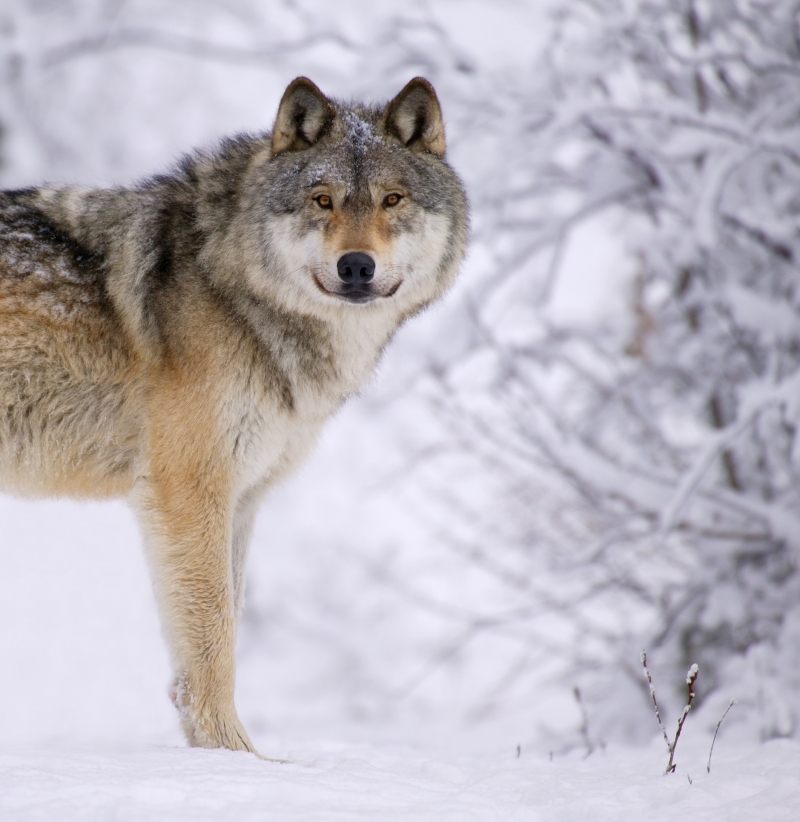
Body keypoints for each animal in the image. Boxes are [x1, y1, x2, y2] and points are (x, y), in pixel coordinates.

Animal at [0, 79, 468, 760]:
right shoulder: (189, 490)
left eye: (392, 200)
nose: (357, 266)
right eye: (322, 200)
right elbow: (213, 637)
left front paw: (222, 759)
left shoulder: (242, 497)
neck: (234, 288)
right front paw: (241, 762)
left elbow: (217, 632)